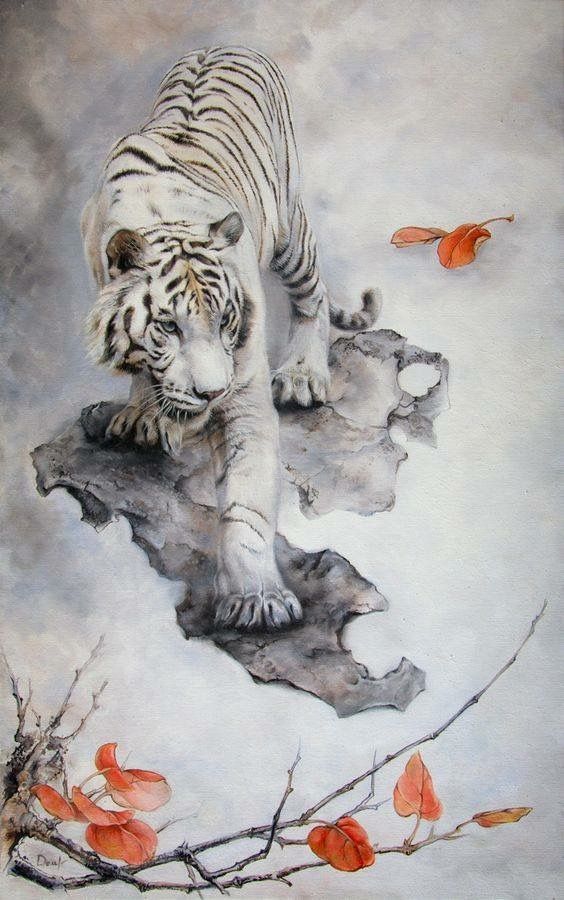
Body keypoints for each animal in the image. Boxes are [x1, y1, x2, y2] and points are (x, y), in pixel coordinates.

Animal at [82, 45, 379, 633]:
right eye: (168, 326)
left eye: (225, 322)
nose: (211, 393)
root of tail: (224, 45)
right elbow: (143, 371)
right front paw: (144, 414)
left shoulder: (245, 395)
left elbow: (246, 503)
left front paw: (257, 599)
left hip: (289, 230)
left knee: (313, 295)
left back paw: (303, 376)